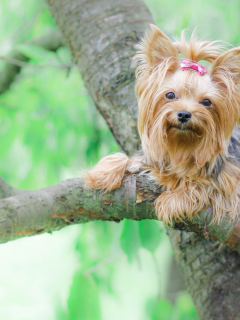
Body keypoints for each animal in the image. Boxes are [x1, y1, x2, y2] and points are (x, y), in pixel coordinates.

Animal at [83, 25, 240, 224]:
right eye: (170, 95)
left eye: (206, 102)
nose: (183, 114)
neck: (182, 146)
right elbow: (130, 159)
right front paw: (103, 173)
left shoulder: (231, 190)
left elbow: (205, 185)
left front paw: (173, 200)